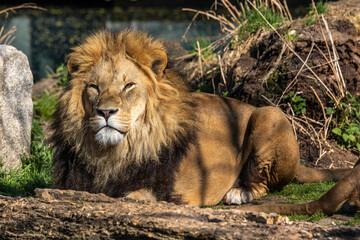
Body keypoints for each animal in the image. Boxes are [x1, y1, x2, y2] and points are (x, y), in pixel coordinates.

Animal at [50, 29, 354, 212]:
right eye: (94, 87)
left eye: (128, 86)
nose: (105, 112)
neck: (114, 153)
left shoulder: (167, 193)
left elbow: (134, 196)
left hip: (270, 115)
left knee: (265, 183)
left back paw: (239, 192)